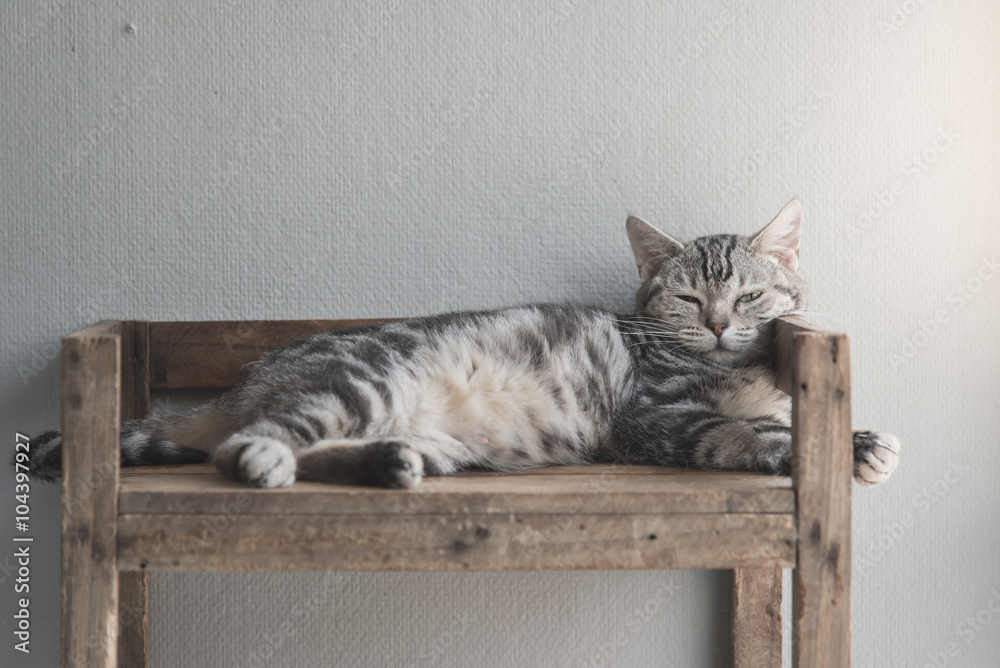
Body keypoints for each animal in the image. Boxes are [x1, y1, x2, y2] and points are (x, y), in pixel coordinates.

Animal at [23, 201, 904, 488]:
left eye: (748, 297)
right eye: (690, 299)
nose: (720, 324)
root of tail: (249, 379)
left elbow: (779, 416)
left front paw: (854, 438)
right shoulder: (650, 415)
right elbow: (740, 430)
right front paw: (807, 445)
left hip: (432, 434)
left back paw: (386, 463)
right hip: (358, 380)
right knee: (251, 443)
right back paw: (264, 459)